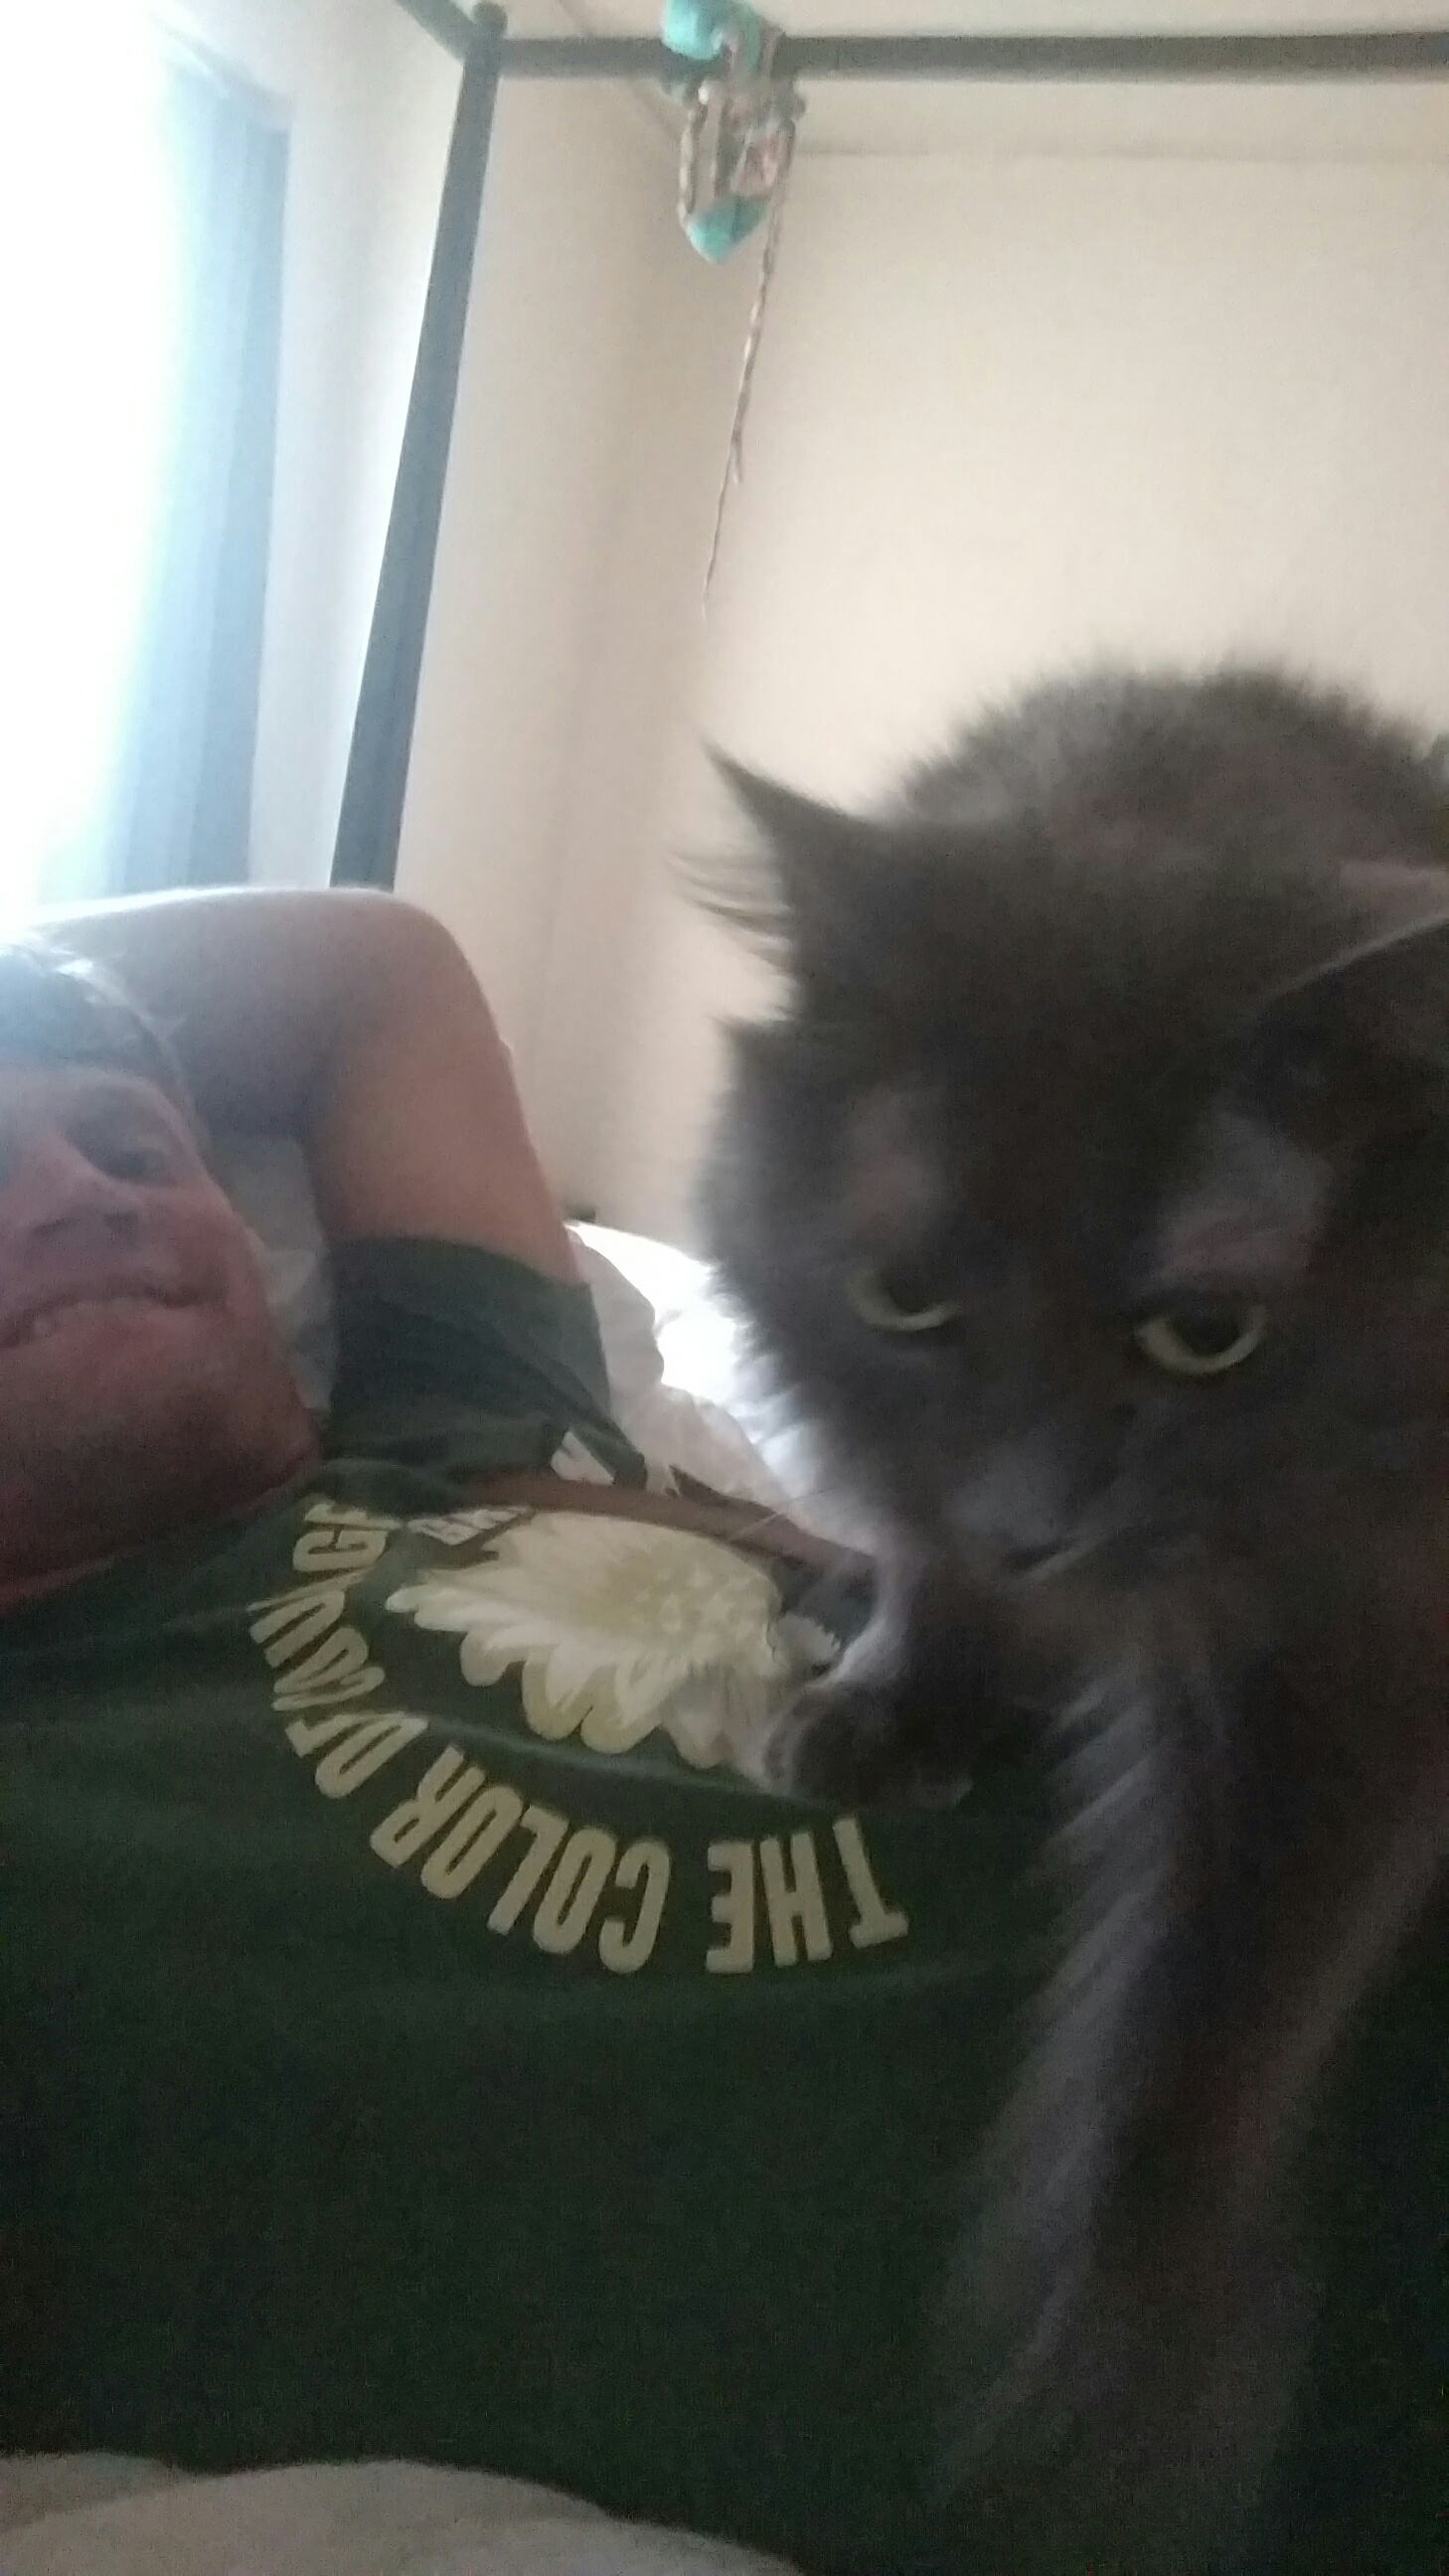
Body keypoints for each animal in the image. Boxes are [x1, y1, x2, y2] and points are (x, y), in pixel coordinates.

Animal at [701, 666, 1449, 2568]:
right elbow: (924, 1568)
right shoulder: (912, 1474)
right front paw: (889, 1701)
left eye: (1202, 1334)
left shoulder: (1374, 1628)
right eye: (907, 1299)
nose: (1037, 1528)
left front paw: (1121, 2364)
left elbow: (1220, 1985)